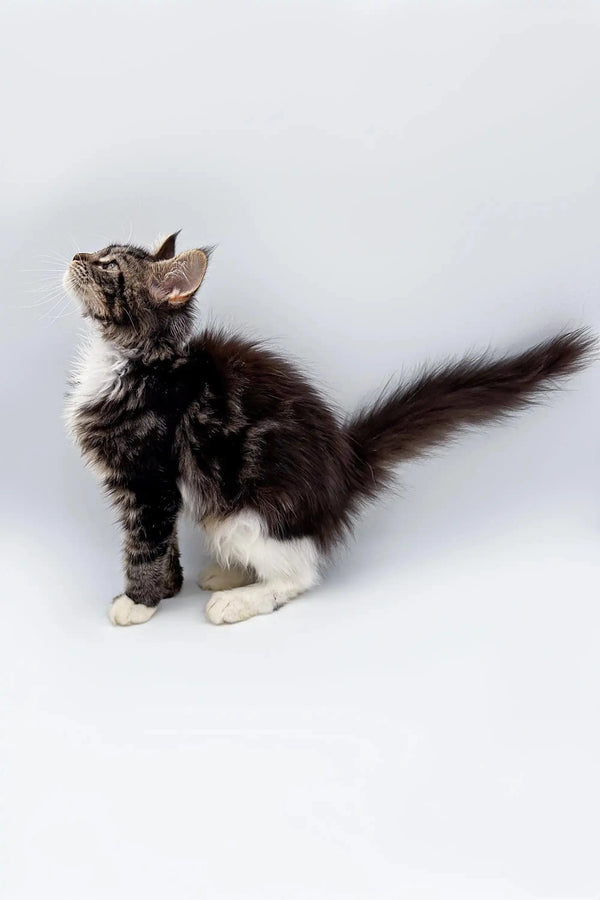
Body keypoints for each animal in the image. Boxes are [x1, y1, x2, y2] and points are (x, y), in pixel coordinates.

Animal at [63, 232, 592, 624]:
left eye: (109, 266)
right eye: (98, 253)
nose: (75, 254)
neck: (133, 361)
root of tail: (345, 463)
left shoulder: (149, 482)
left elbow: (146, 546)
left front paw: (139, 602)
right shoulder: (155, 489)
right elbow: (165, 545)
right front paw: (170, 588)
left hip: (250, 514)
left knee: (299, 574)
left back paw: (238, 599)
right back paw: (230, 575)